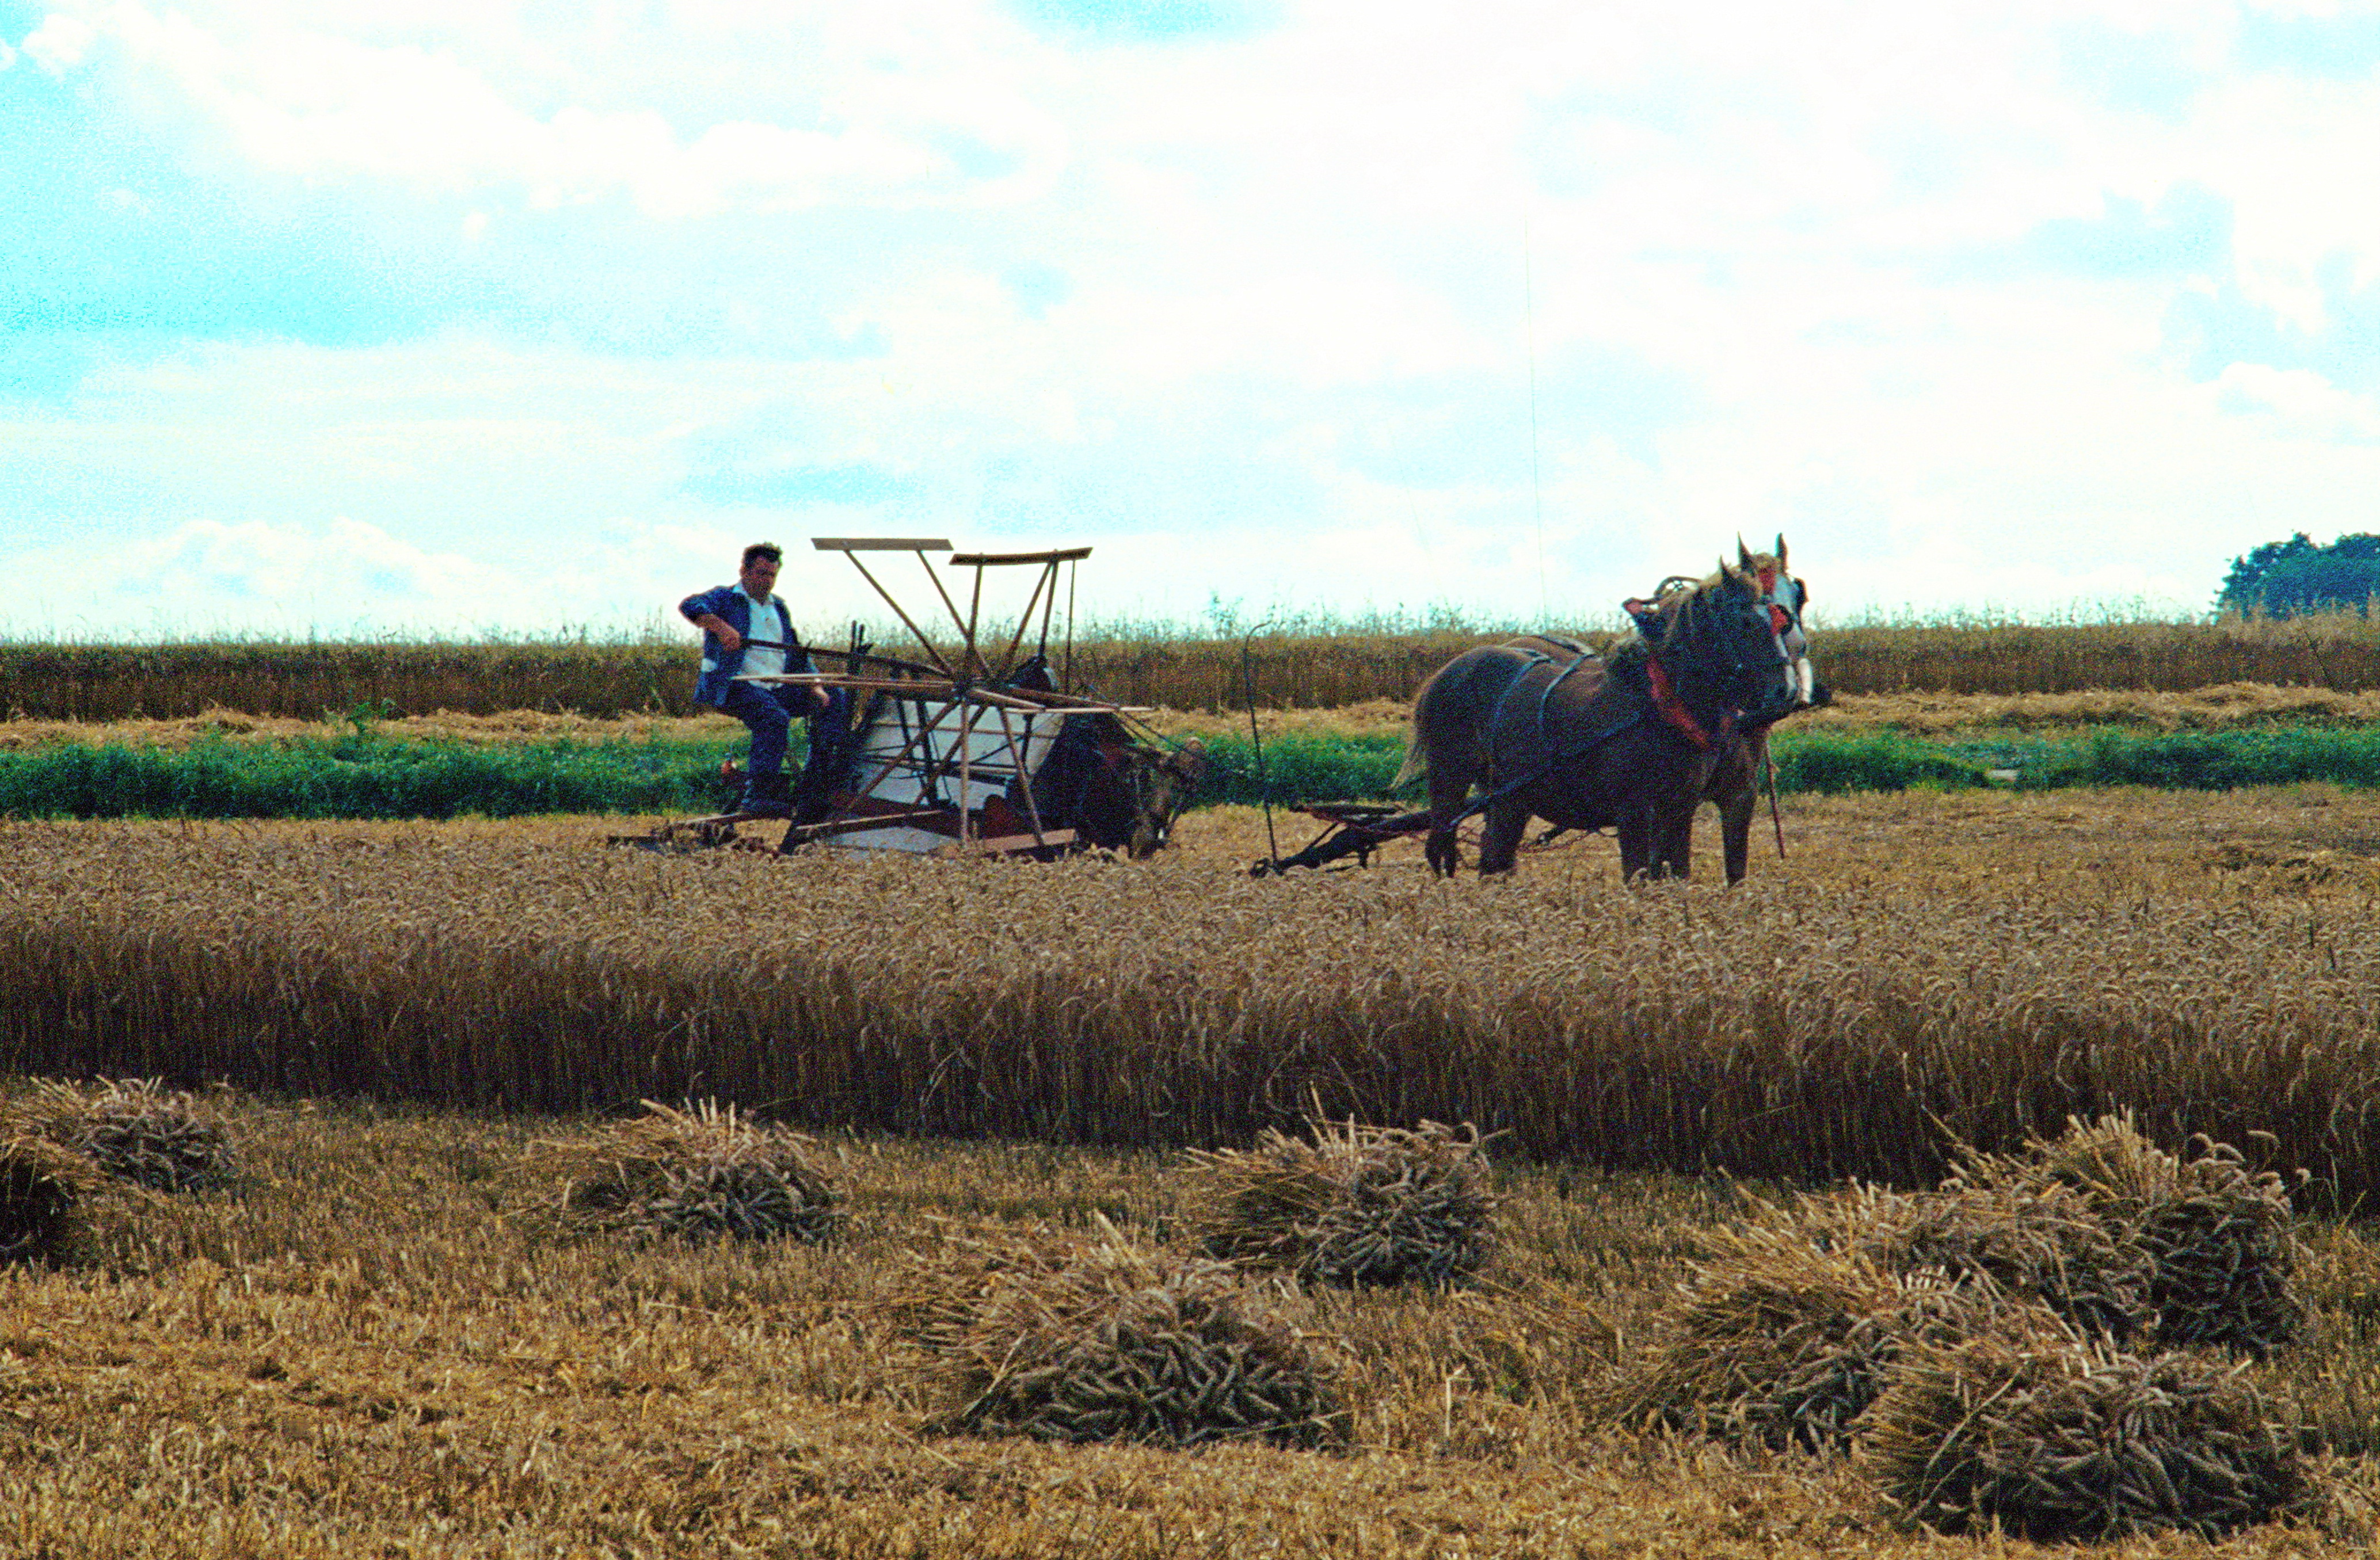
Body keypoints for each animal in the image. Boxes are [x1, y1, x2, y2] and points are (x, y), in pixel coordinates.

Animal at [1389, 549, 1799, 884]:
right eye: (1747, 623)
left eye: (1783, 614)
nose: (1787, 691)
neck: (1657, 706)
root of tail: (1448, 671)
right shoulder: (1634, 810)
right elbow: (1639, 877)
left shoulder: (1681, 807)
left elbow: (1679, 875)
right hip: (1450, 782)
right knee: (1443, 851)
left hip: (1508, 796)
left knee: (1494, 860)